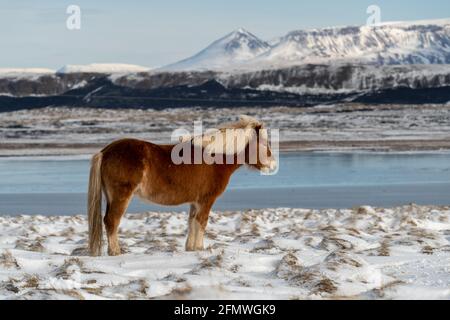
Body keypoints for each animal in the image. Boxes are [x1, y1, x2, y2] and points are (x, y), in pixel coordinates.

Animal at [87, 115, 276, 255]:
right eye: (264, 144)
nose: (273, 165)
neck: (214, 157)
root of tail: (105, 152)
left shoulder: (195, 202)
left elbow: (192, 222)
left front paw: (191, 248)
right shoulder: (206, 201)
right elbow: (202, 222)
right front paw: (200, 248)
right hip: (121, 197)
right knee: (112, 221)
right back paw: (116, 252)